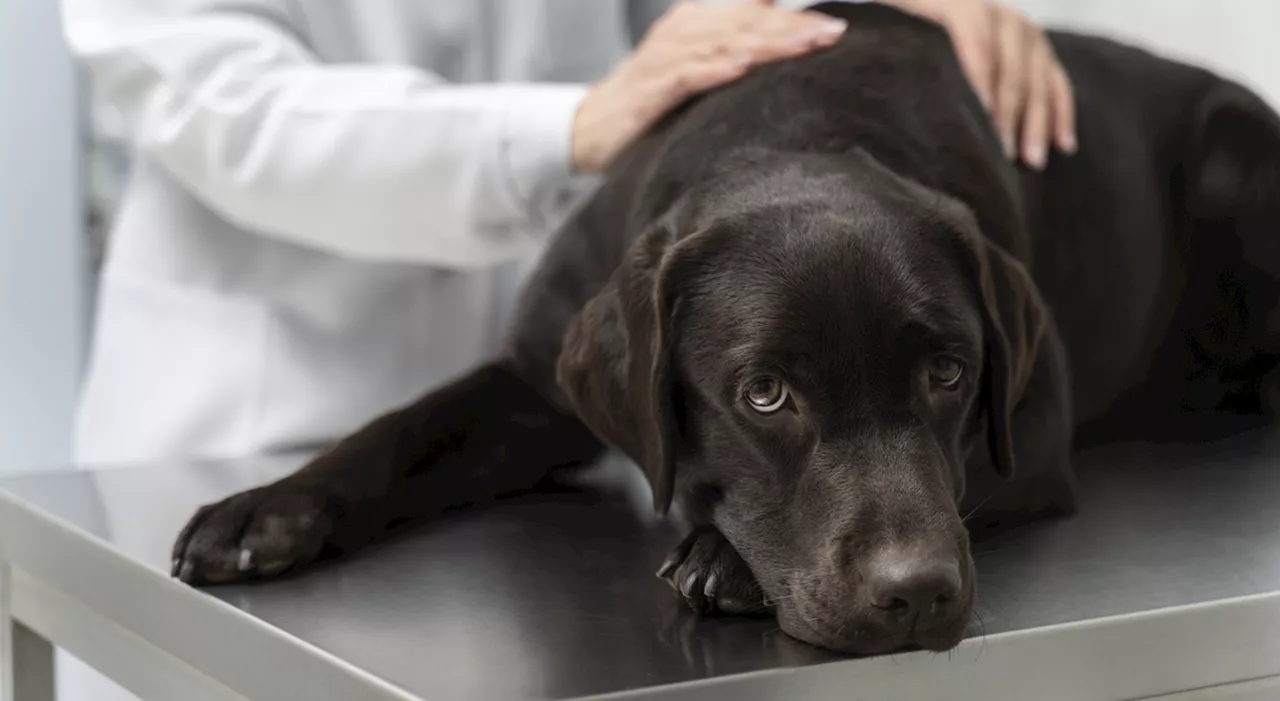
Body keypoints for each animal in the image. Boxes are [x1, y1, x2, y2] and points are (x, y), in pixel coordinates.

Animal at [167, 2, 1280, 654]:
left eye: (949, 375)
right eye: (764, 393)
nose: (915, 594)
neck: (794, 131)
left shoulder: (1031, 432)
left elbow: (963, 475)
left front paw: (725, 557)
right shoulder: (538, 373)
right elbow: (403, 428)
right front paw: (266, 506)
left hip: (1238, 161)